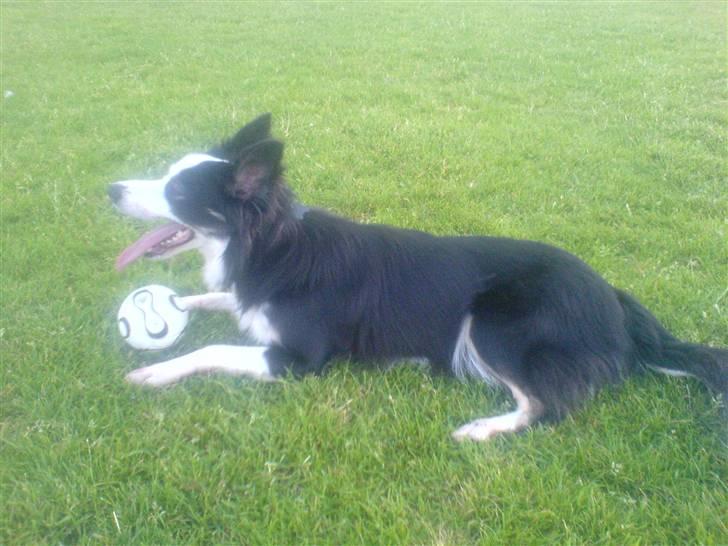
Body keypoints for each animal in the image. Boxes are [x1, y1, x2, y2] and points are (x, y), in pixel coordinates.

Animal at [109, 112, 728, 440]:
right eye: (168, 177)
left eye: (176, 193)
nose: (112, 189)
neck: (272, 247)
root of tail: (613, 299)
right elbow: (211, 301)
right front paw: (179, 308)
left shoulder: (300, 359)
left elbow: (211, 350)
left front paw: (155, 372)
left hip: (495, 321)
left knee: (547, 408)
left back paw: (483, 429)